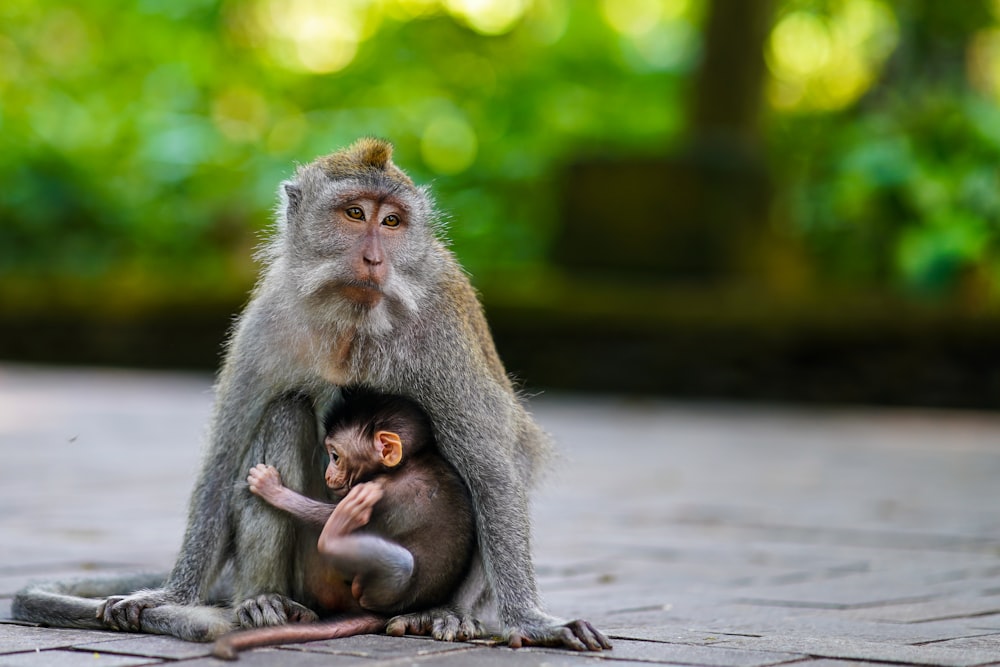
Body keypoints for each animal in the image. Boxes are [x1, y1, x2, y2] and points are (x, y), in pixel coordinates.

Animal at [212, 388, 476, 660]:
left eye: (336, 456)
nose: (328, 474)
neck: (408, 463)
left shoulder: (382, 491)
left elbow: (326, 516)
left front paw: (271, 488)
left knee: (401, 563)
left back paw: (335, 534)